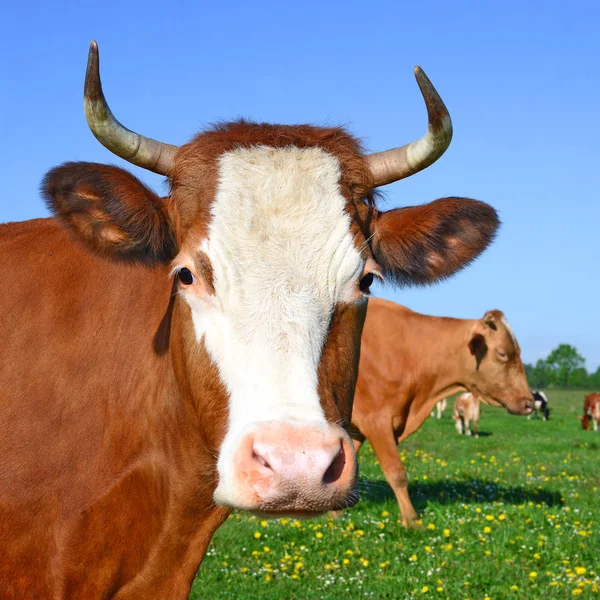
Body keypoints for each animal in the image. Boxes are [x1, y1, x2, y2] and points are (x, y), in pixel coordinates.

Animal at [350, 300, 532, 524]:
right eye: (502, 353)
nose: (529, 403)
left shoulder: (357, 427)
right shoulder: (376, 421)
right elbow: (396, 473)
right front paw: (412, 520)